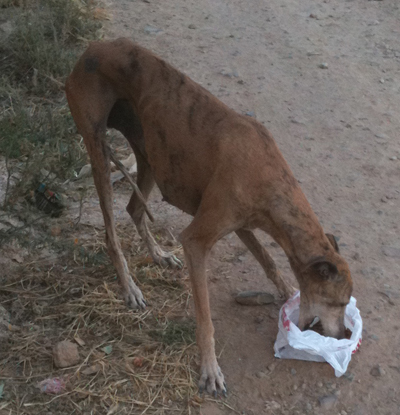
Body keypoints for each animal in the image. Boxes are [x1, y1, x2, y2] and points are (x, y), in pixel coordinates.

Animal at [65, 38, 354, 396]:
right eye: (338, 303)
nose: (343, 336)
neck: (268, 176)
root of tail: (91, 49)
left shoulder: (243, 223)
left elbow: (268, 261)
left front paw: (288, 293)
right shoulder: (197, 240)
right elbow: (205, 320)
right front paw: (210, 370)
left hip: (150, 156)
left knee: (134, 208)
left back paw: (159, 255)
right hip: (98, 149)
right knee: (111, 232)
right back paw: (129, 286)